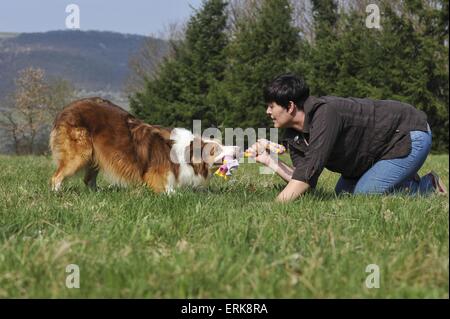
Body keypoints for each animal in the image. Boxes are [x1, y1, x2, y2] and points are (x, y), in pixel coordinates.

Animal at [49, 97, 239, 192]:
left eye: (220, 143)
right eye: (215, 150)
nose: (238, 149)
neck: (185, 153)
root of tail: (65, 109)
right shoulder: (155, 176)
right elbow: (169, 191)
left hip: (97, 154)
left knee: (88, 179)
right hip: (80, 154)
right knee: (56, 177)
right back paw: (57, 193)